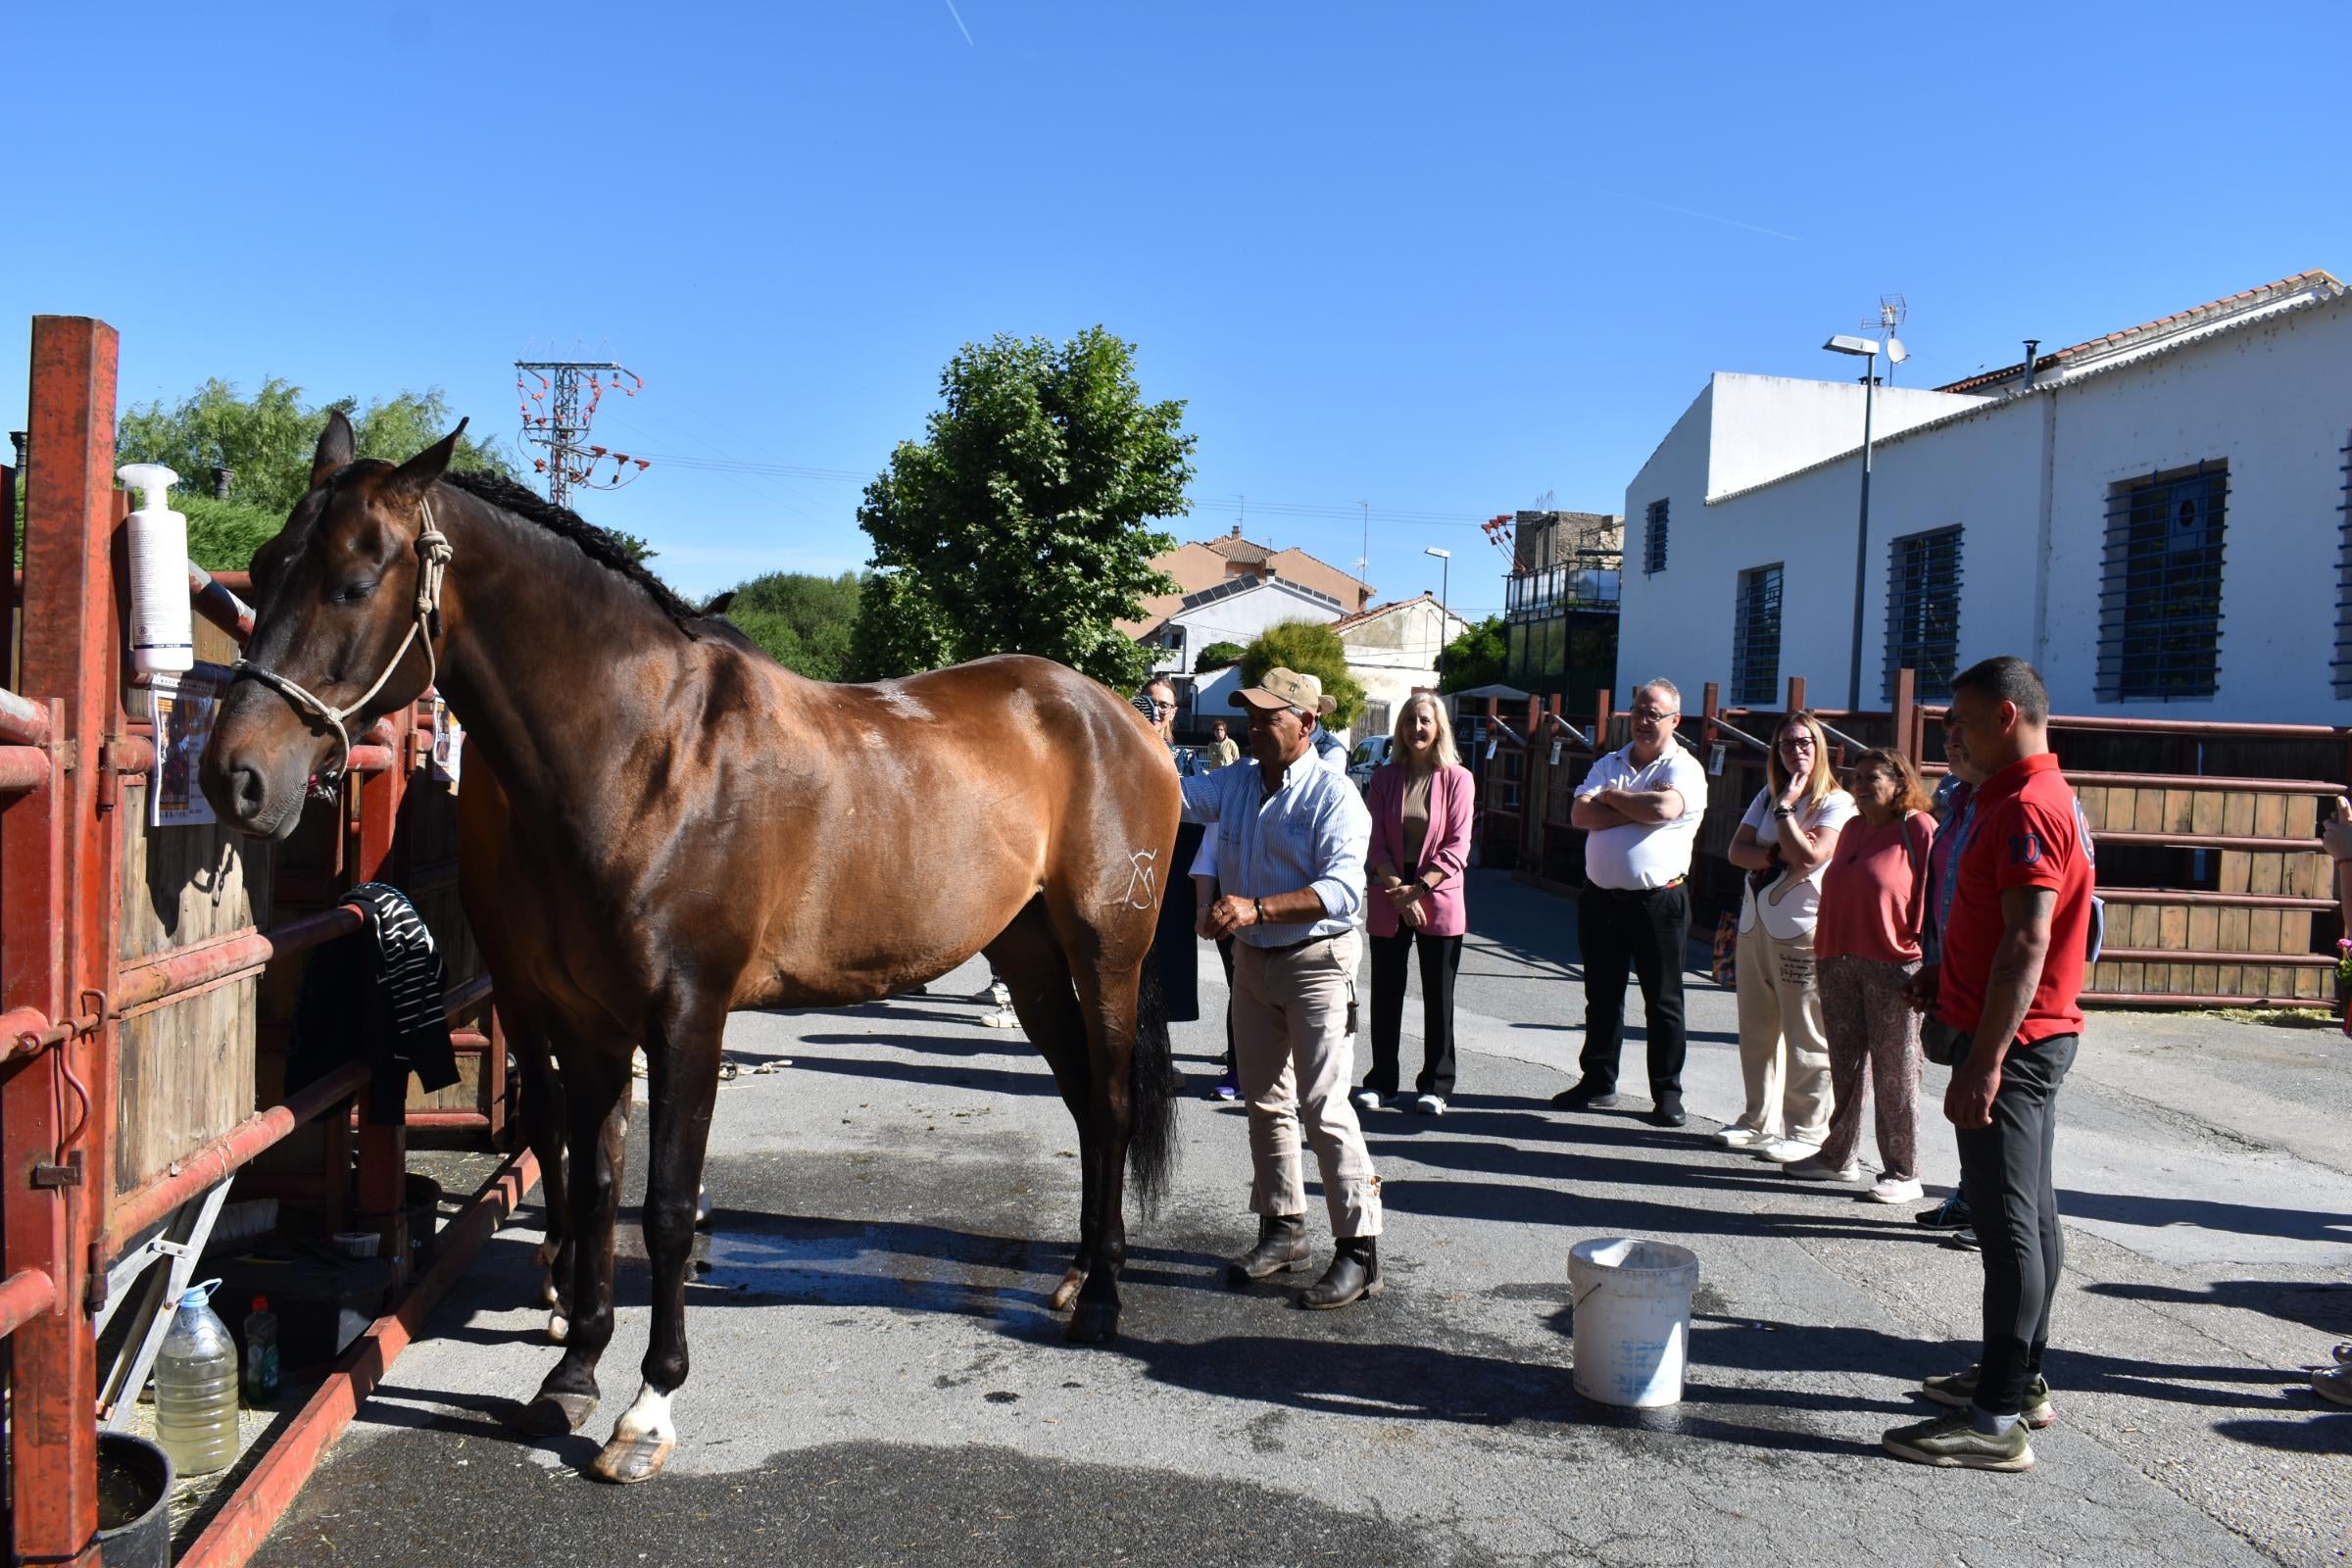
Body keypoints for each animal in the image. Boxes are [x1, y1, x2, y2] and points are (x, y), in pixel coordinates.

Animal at [207, 414, 1176, 1486]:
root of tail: (1118, 718)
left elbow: (668, 1203)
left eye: (351, 581)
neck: (649, 757)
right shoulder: (583, 1023)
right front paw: (572, 1369)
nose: (234, 775)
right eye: (265, 566)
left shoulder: (687, 1017)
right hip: (1031, 958)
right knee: (1085, 1106)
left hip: (1107, 955)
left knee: (1114, 1105)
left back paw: (1102, 1300)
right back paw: (1078, 1276)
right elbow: (594, 1183)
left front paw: (647, 1407)